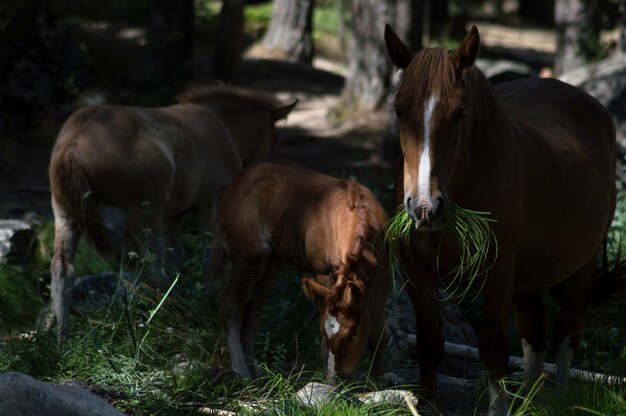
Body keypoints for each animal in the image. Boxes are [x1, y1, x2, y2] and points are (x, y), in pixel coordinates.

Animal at [47, 85, 296, 344]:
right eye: (275, 137)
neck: (218, 124)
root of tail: (74, 143)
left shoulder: (173, 217)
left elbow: (175, 258)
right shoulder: (211, 205)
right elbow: (210, 258)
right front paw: (208, 300)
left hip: (66, 213)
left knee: (63, 270)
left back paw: (62, 342)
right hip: (144, 210)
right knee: (134, 257)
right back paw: (178, 300)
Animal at [214, 161, 390, 382]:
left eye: (352, 333)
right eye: (322, 331)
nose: (339, 378)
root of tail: (233, 186)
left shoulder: (382, 281)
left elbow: (378, 333)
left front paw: (378, 382)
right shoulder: (322, 274)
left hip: (272, 263)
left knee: (253, 310)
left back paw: (255, 371)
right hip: (249, 256)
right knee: (229, 304)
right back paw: (242, 373)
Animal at [382, 26, 616, 416]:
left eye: (459, 113)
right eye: (399, 110)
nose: (425, 208)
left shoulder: (498, 269)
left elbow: (493, 347)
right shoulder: (417, 270)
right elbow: (429, 344)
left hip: (580, 266)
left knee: (566, 332)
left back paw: (560, 396)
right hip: (528, 275)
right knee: (535, 335)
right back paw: (528, 399)